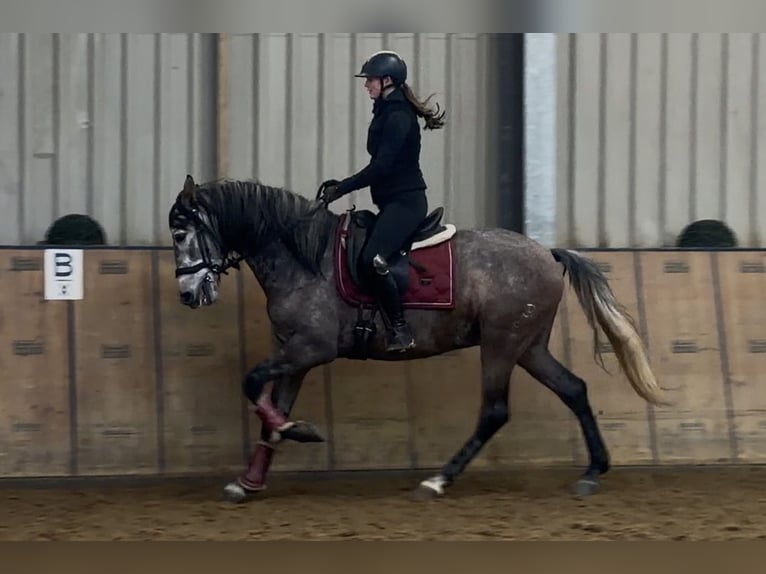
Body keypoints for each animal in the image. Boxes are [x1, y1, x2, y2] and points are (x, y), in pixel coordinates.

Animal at [168, 174, 668, 503]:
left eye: (180, 232)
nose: (189, 295)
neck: (304, 257)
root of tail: (547, 253)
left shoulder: (310, 348)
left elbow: (253, 384)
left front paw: (301, 433)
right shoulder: (294, 351)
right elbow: (271, 409)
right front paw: (250, 480)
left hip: (502, 344)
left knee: (495, 411)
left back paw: (438, 480)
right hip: (529, 346)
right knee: (573, 389)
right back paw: (592, 472)